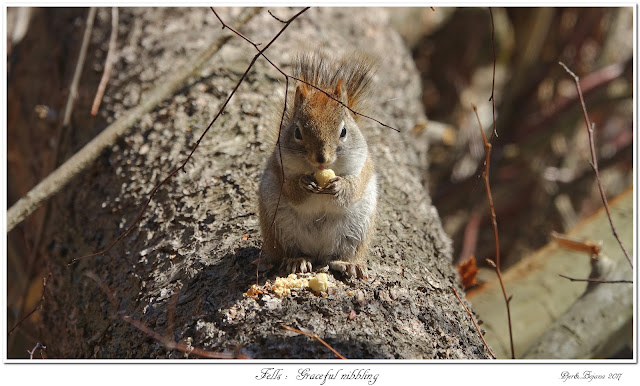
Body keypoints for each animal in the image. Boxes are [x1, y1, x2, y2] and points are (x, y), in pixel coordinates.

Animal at [258, 52, 378, 280]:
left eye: (343, 132)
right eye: (297, 132)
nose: (321, 159)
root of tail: (318, 252)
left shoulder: (363, 166)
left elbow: (354, 187)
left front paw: (339, 186)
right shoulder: (279, 168)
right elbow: (291, 189)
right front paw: (304, 184)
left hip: (356, 230)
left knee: (337, 256)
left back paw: (348, 264)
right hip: (278, 227)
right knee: (291, 251)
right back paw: (296, 260)